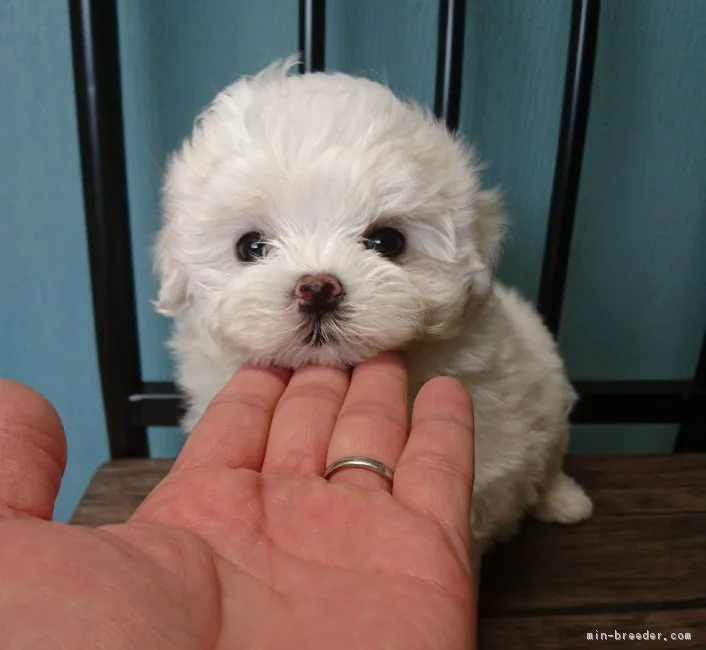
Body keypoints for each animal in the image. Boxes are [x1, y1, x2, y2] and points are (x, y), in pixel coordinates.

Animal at [153, 57, 588, 560]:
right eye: (251, 247)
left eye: (387, 241)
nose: (317, 289)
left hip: (552, 393)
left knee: (551, 457)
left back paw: (565, 501)